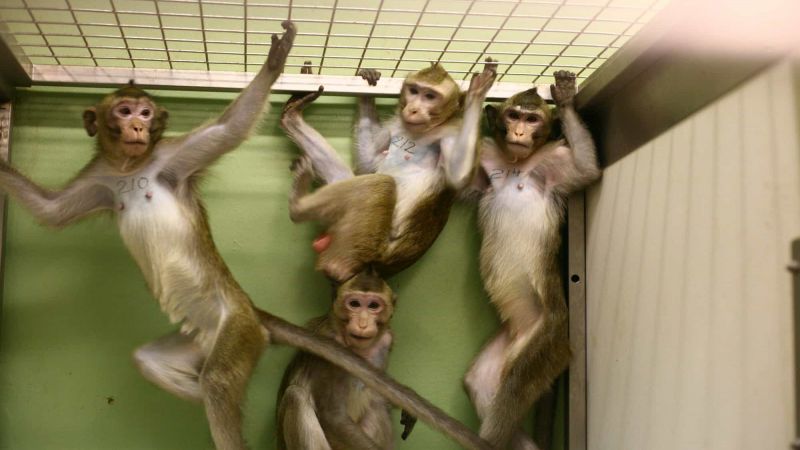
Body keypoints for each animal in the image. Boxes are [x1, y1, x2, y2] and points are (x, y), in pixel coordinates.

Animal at [276, 268, 398, 450]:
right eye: (354, 304)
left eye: (373, 306)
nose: (363, 323)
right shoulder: (328, 349)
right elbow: (332, 417)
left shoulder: (386, 341)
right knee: (295, 395)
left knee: (377, 405)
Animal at [279, 59, 497, 281]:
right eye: (414, 91)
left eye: (430, 96)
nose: (413, 109)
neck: (424, 130)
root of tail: (379, 268)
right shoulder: (396, 126)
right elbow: (368, 163)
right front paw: (367, 90)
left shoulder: (451, 131)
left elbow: (457, 176)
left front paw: (477, 93)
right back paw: (292, 117)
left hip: (360, 242)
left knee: (380, 184)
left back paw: (298, 207)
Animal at [462, 70, 601, 450]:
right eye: (513, 115)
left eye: (532, 118)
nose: (520, 132)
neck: (517, 166)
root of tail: (523, 330)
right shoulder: (486, 159)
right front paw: (476, 94)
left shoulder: (555, 163)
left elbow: (586, 170)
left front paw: (566, 100)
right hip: (510, 340)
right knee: (481, 383)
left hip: (549, 337)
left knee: (514, 387)